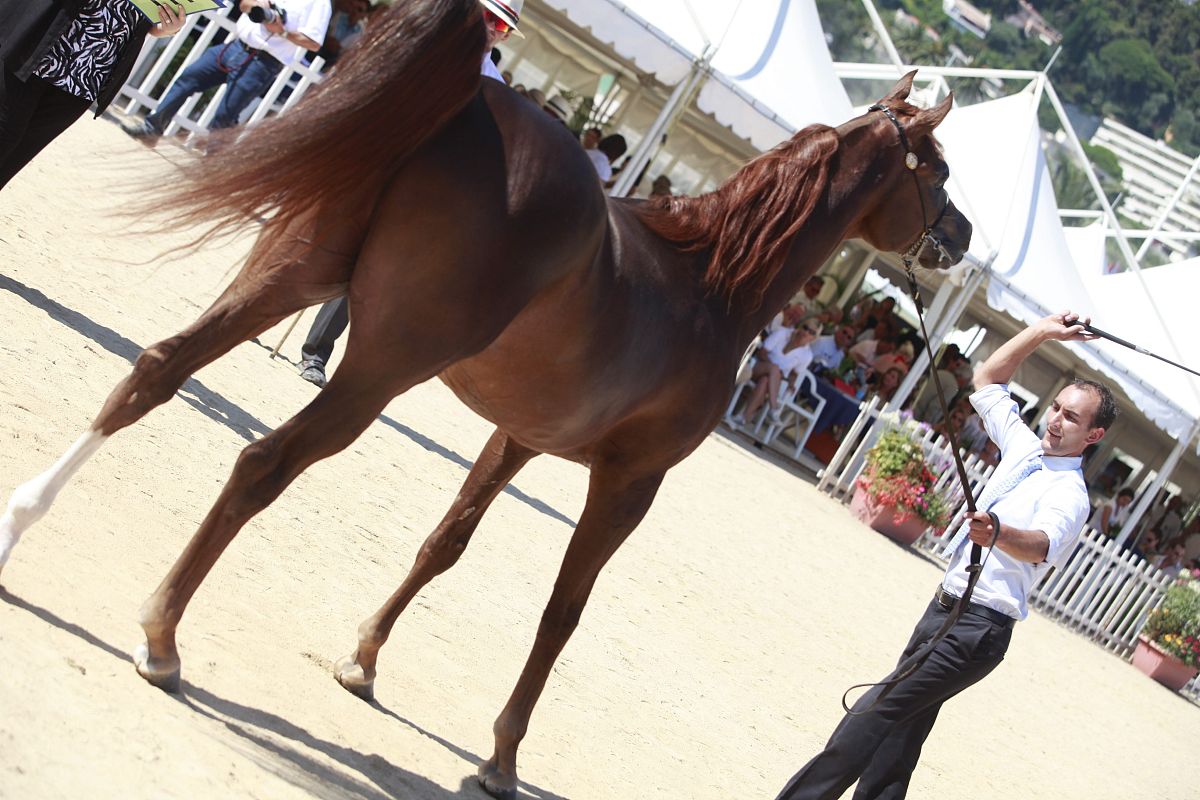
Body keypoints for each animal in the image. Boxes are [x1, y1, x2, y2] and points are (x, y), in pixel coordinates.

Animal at [0, 0, 972, 796]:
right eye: (938, 171)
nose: (957, 240)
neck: (713, 284)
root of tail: (470, 105)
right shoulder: (630, 482)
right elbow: (563, 613)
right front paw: (501, 756)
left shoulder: (519, 436)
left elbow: (445, 544)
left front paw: (363, 663)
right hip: (380, 365)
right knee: (263, 462)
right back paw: (161, 637)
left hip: (284, 279)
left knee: (154, 373)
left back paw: (21, 524)